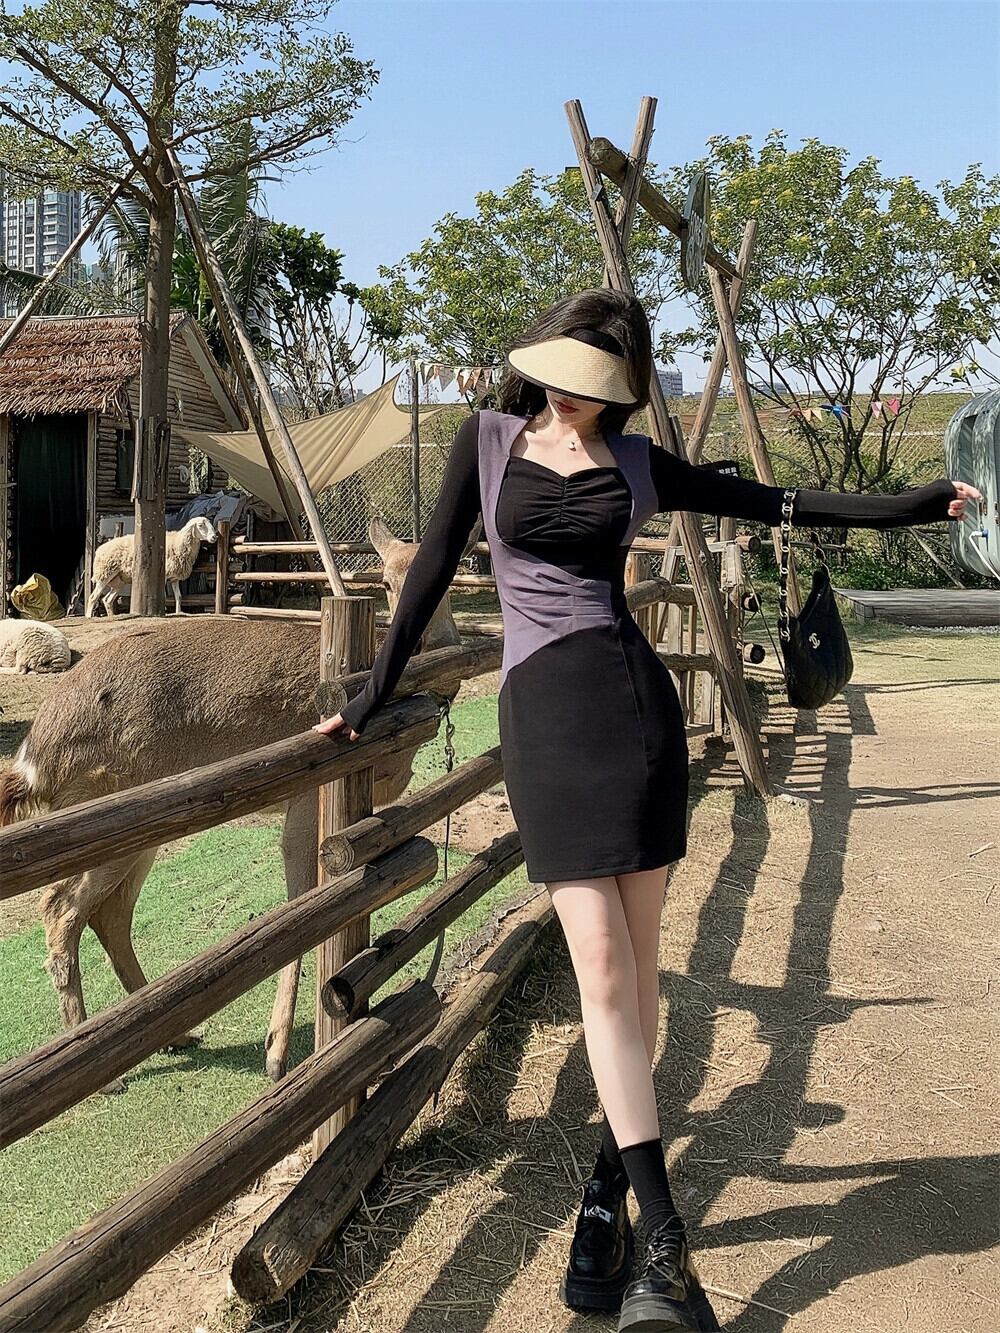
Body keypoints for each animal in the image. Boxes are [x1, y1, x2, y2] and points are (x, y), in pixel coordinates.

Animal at [85, 516, 218, 617]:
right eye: (200, 525)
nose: (214, 537)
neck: (179, 542)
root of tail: (99, 549)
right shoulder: (164, 575)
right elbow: (164, 596)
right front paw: (164, 611)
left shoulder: (174, 578)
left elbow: (179, 597)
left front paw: (179, 612)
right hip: (104, 574)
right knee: (93, 597)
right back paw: (89, 616)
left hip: (118, 581)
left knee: (107, 600)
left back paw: (111, 616)